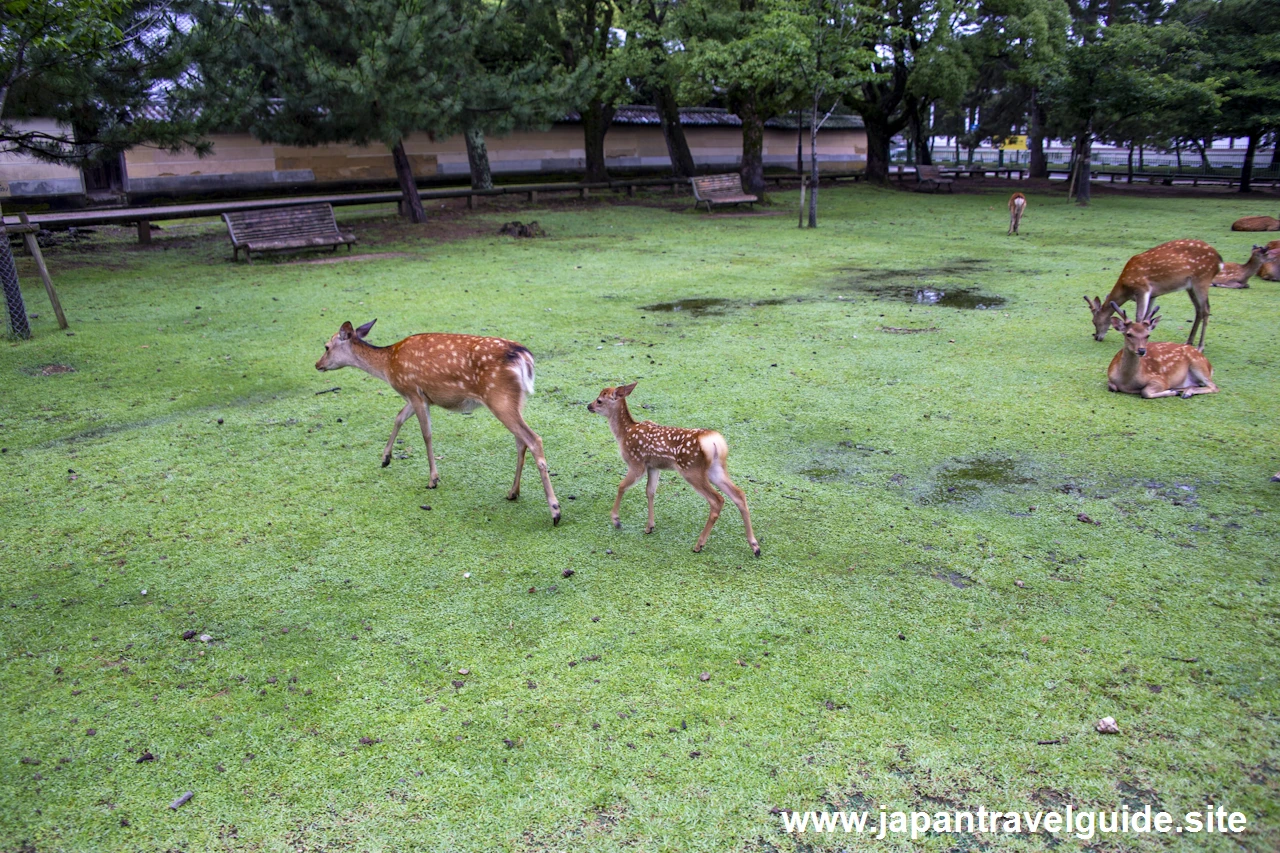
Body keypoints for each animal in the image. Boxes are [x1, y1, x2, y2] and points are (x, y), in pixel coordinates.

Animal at [313, 318, 560, 522]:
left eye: (326, 347)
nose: (317, 364)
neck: (388, 366)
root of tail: (524, 357)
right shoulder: (419, 396)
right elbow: (398, 418)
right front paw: (385, 458)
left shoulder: (413, 390)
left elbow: (426, 434)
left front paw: (432, 479)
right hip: (516, 400)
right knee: (521, 441)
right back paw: (513, 492)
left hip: (499, 397)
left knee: (534, 439)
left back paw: (555, 511)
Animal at [588, 381, 757, 555]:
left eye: (599, 400)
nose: (589, 406)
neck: (624, 433)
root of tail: (714, 442)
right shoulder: (653, 466)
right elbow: (650, 491)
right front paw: (649, 526)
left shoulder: (637, 462)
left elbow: (621, 486)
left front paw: (616, 520)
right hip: (716, 469)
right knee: (739, 494)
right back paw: (755, 546)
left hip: (691, 469)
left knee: (717, 500)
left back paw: (699, 544)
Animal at [1085, 235, 1223, 348]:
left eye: (1094, 321)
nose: (1097, 337)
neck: (1125, 287)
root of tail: (1219, 260)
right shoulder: (1153, 294)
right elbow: (1147, 316)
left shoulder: (1142, 288)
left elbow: (1140, 316)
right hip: (1190, 287)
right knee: (1198, 310)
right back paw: (1189, 341)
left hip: (1202, 279)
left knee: (1206, 309)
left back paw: (1200, 346)